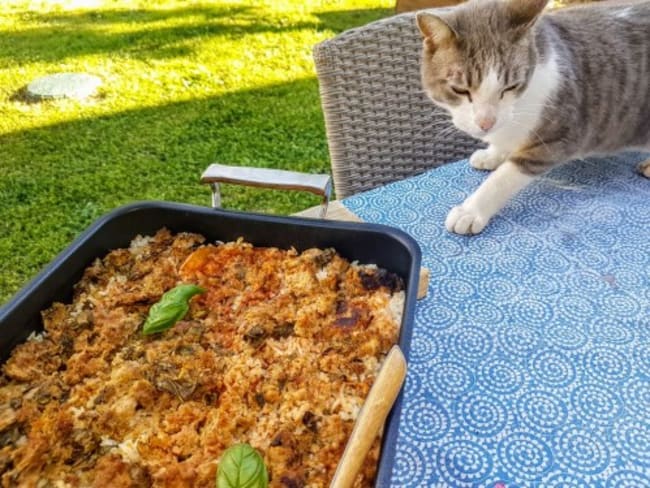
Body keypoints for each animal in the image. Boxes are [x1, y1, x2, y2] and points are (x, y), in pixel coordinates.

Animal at [416, 0, 648, 234]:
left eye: (511, 86)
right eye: (460, 90)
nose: (486, 122)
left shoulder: (560, 136)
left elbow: (505, 177)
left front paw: (471, 209)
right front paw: (492, 154)